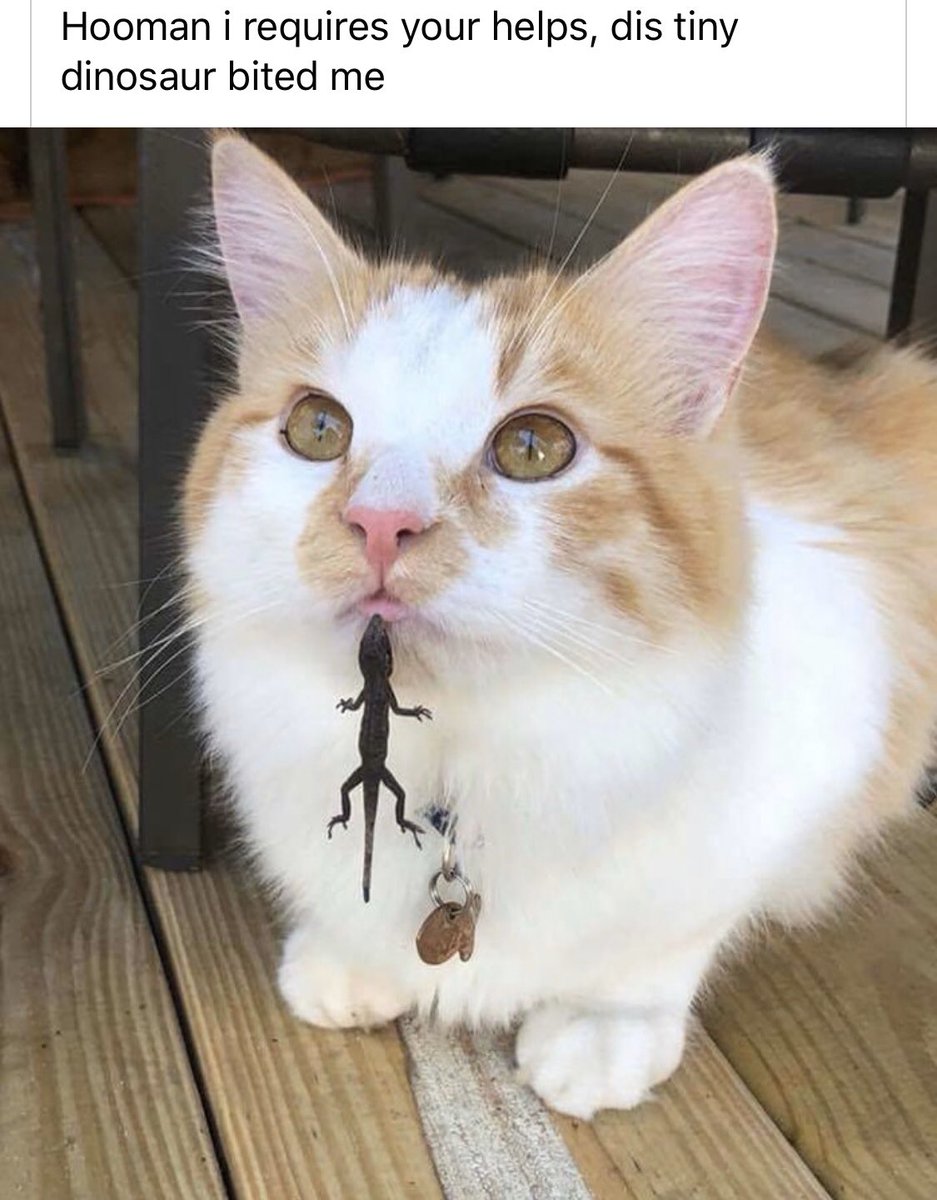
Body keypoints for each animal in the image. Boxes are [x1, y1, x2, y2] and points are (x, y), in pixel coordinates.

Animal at [184, 133, 937, 1119]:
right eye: (316, 428)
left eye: (532, 447)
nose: (380, 524)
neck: (464, 762)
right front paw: (347, 957)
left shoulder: (831, 728)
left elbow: (663, 946)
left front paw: (603, 1034)